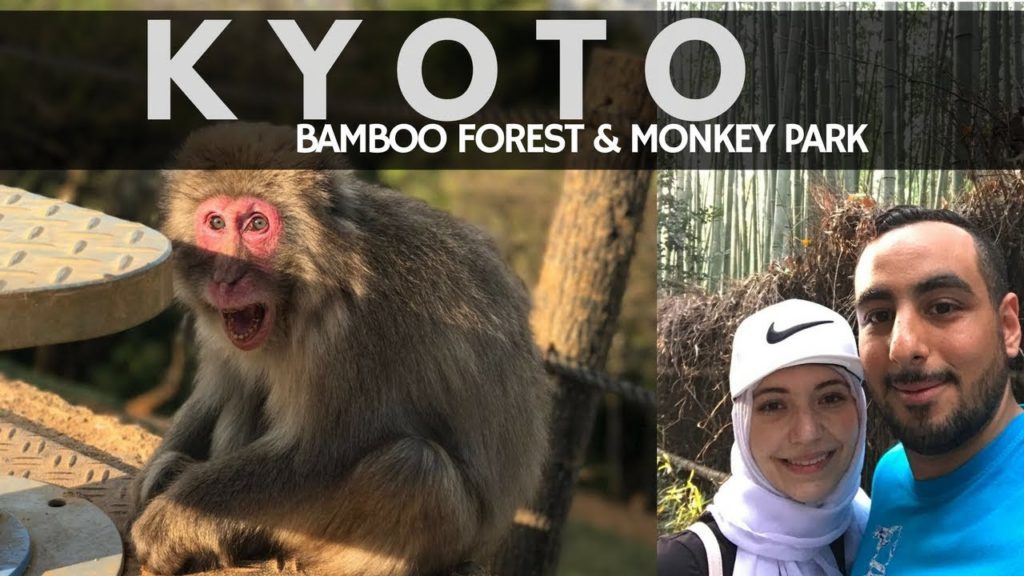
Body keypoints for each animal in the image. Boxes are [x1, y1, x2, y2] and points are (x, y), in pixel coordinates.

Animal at [129, 123, 552, 576]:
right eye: (216, 222)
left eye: (257, 223)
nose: (226, 277)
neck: (321, 282)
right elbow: (220, 390)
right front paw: (157, 475)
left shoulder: (357, 335)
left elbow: (317, 455)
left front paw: (171, 518)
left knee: (415, 473)